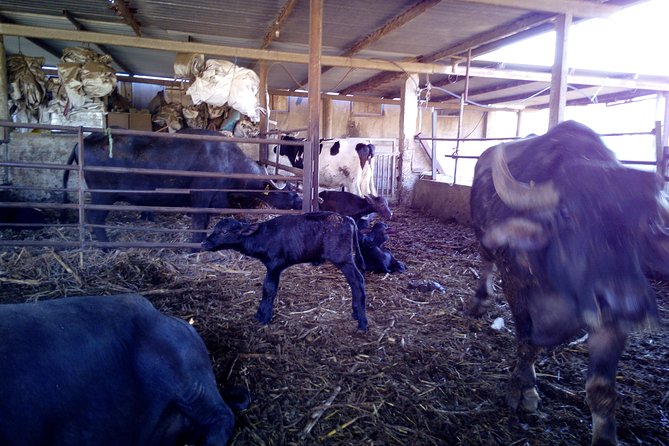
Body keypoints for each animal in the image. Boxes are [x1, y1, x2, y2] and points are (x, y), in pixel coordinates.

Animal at [62, 127, 302, 246]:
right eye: (291, 192)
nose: (303, 202)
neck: (226, 160)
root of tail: (84, 140)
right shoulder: (200, 195)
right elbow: (198, 220)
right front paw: (195, 245)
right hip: (103, 195)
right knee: (95, 218)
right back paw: (105, 246)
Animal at [201, 212, 368, 332]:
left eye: (224, 231)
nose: (204, 243)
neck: (262, 236)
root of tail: (347, 219)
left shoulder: (275, 265)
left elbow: (268, 289)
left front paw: (263, 316)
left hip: (343, 259)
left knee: (357, 281)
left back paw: (362, 321)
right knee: (354, 282)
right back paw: (355, 312)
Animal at [464, 119, 668, 446]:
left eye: (648, 222)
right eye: (567, 214)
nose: (627, 306)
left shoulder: (609, 320)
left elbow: (601, 389)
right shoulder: (516, 286)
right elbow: (527, 340)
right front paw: (523, 387)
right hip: (483, 238)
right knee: (486, 263)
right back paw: (480, 301)